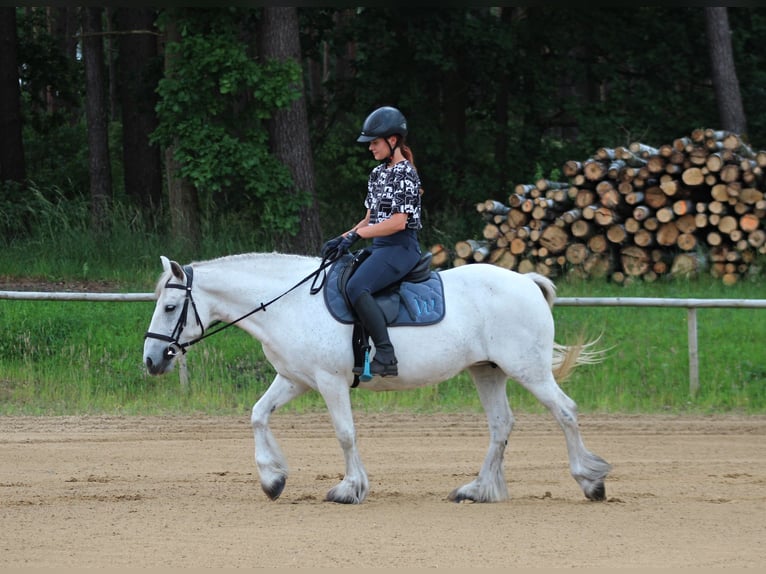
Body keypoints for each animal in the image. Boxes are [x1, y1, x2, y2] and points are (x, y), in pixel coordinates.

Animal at [142, 254, 612, 506]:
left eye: (169, 307)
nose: (151, 359)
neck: (288, 303)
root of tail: (525, 282)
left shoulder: (329, 382)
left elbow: (345, 433)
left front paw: (349, 489)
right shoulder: (294, 379)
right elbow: (258, 415)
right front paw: (272, 479)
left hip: (528, 370)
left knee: (565, 412)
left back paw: (591, 480)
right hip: (487, 371)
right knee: (501, 425)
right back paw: (479, 489)